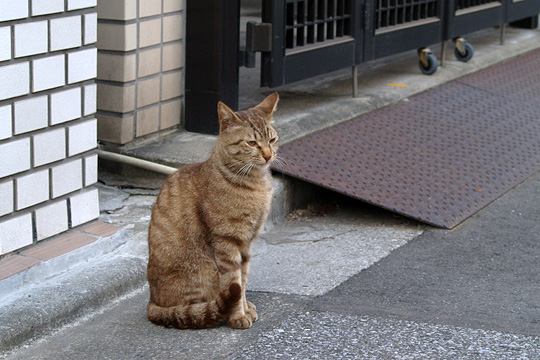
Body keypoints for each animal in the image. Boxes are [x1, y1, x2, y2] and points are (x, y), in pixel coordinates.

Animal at [146, 92, 280, 330]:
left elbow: (243, 281)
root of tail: (152, 303)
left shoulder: (246, 243)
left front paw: (244, 308)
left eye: (272, 140)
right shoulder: (227, 241)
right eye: (252, 143)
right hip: (203, 270)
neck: (255, 184)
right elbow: (234, 282)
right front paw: (238, 317)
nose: (268, 155)